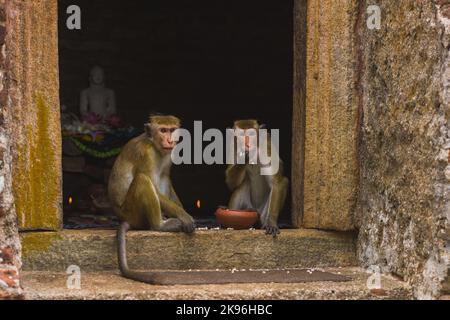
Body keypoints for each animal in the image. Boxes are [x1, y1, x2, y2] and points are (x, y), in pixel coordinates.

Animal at [109, 114, 195, 282]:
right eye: (163, 130)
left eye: (172, 130)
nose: (170, 140)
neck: (154, 145)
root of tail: (123, 217)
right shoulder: (145, 154)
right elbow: (152, 184)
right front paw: (184, 216)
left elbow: (165, 177)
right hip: (132, 212)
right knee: (143, 180)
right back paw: (160, 226)